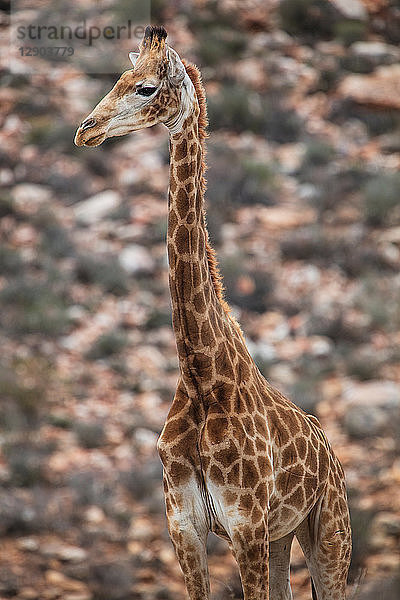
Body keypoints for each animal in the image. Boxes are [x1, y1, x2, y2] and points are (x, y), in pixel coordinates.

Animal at [74, 24, 350, 600]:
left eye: (146, 88)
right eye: (119, 78)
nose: (86, 130)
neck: (201, 375)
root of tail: (333, 459)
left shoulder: (245, 526)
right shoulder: (185, 526)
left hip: (328, 533)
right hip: (282, 538)